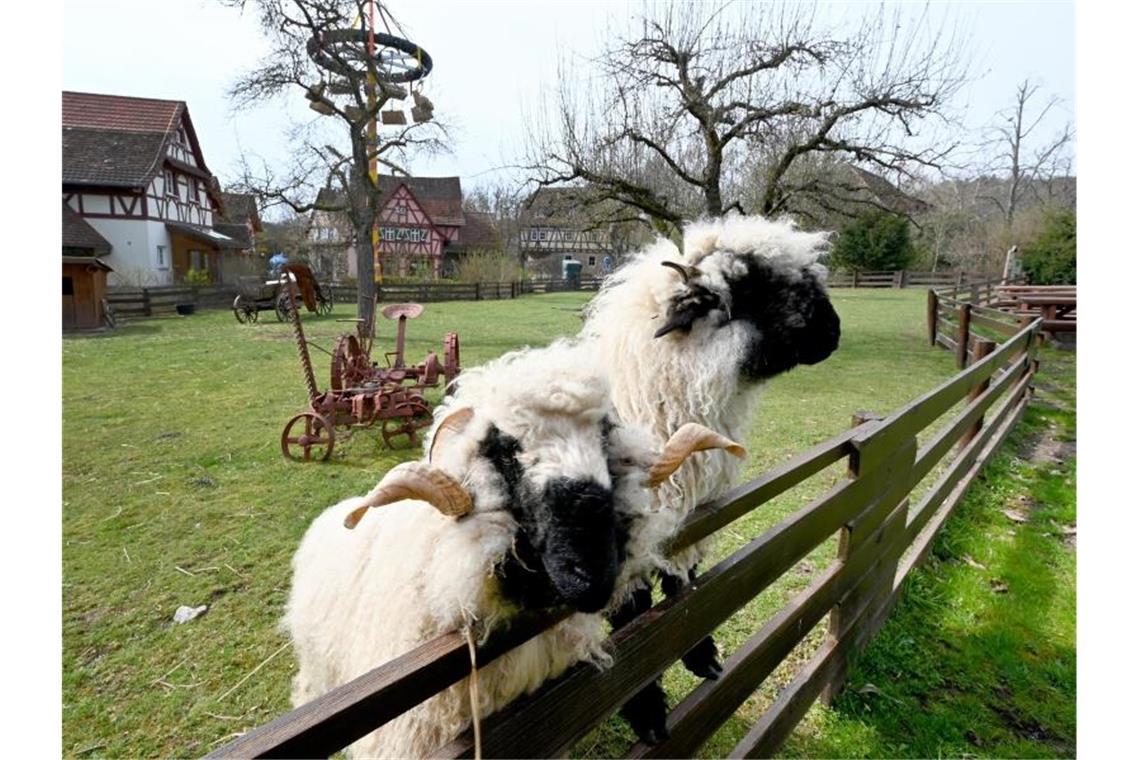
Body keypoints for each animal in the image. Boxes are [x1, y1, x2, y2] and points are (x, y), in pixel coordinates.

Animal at [579, 214, 839, 742]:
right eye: (756, 287)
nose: (834, 331)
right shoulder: (626, 554)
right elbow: (634, 631)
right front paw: (648, 714)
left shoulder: (689, 524)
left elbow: (686, 592)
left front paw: (702, 657)